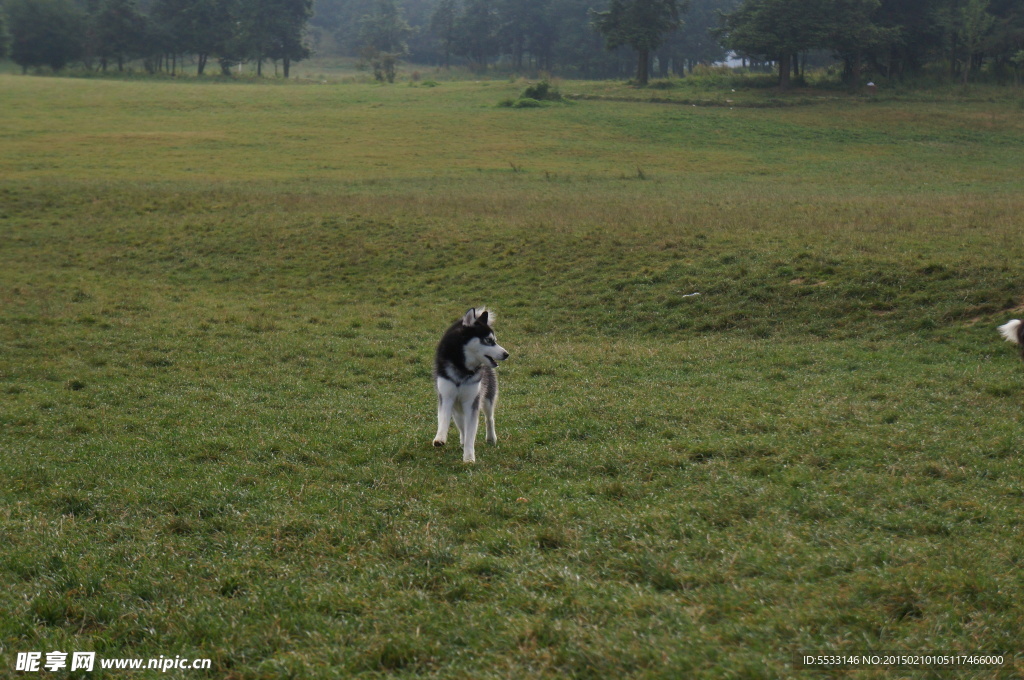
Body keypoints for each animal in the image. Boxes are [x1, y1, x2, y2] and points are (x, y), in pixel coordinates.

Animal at [434, 307, 509, 462]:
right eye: (488, 340)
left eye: (495, 340)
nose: (506, 354)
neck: (462, 368)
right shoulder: (446, 397)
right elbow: (443, 419)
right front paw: (440, 438)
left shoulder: (472, 402)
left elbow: (471, 432)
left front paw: (468, 458)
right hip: (457, 408)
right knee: (461, 425)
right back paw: (462, 440)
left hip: (487, 399)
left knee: (489, 418)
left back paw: (491, 437)